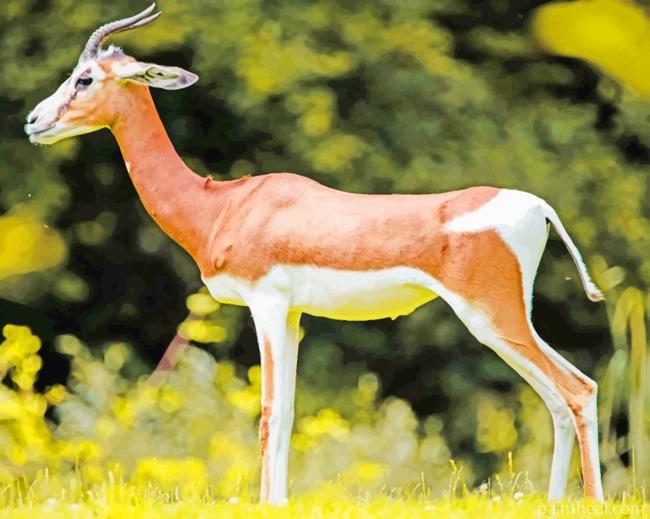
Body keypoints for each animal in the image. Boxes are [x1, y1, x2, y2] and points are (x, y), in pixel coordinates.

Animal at [25, 3, 605, 504]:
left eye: (84, 78)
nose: (33, 121)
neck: (223, 205)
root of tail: (537, 205)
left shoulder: (266, 304)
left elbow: (267, 412)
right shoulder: (295, 314)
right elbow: (286, 413)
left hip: (491, 317)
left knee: (575, 389)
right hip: (511, 318)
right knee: (562, 397)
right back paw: (553, 501)